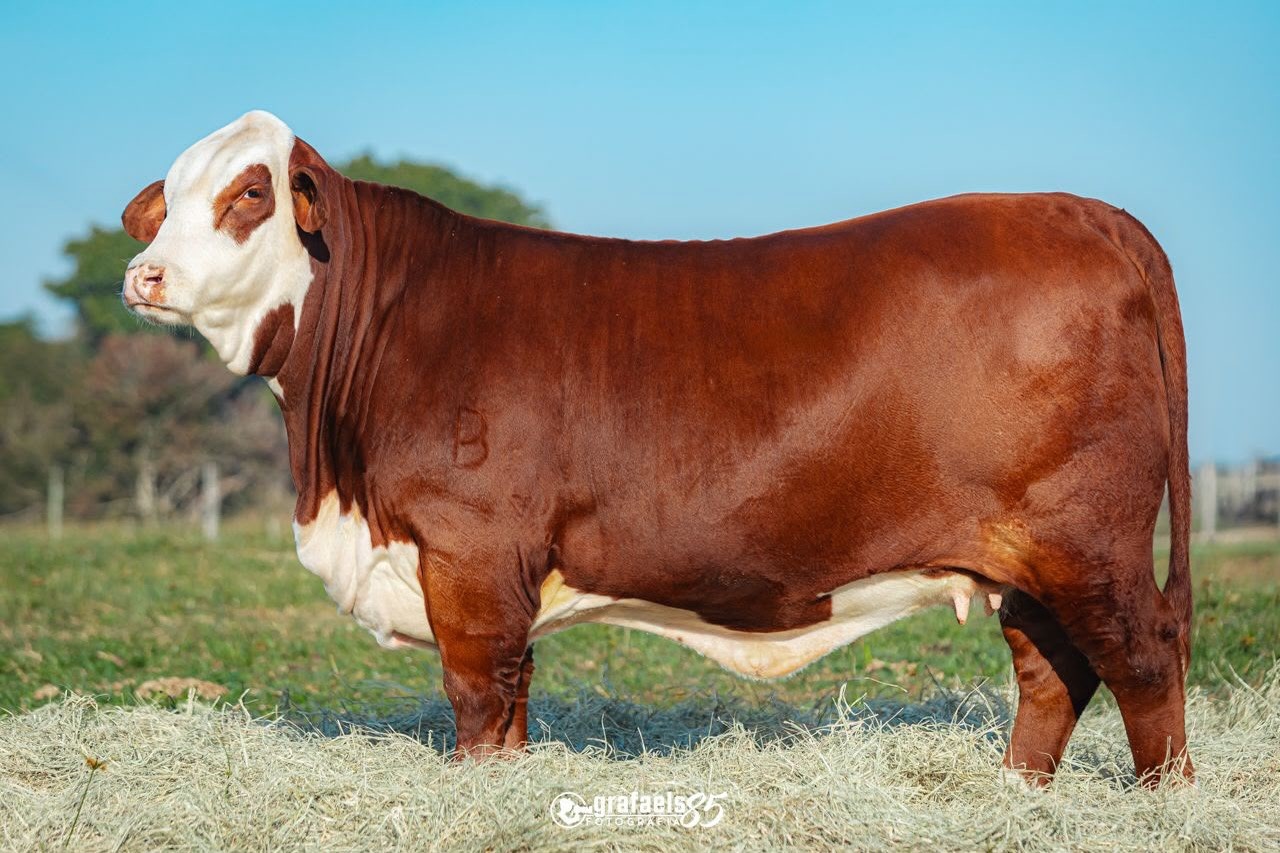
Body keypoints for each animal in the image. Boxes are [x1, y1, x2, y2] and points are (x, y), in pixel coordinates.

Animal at [121, 111, 1193, 785]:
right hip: (1030, 555)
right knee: (1052, 667)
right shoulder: (505, 573)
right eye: (165, 199)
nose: (143, 274)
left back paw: (1161, 804)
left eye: (249, 194)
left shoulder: (469, 554)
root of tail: (1080, 209)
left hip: (1089, 536)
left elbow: (475, 696)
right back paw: (1017, 792)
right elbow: (515, 699)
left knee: (1143, 653)